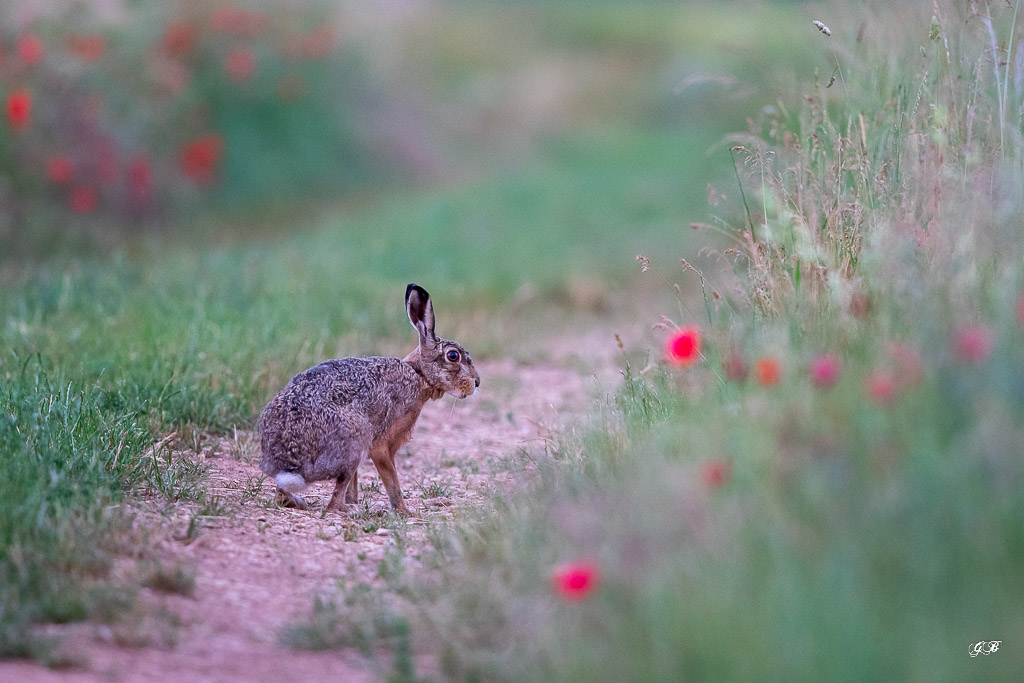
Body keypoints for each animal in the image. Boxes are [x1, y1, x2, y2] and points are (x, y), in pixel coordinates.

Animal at [258, 284, 480, 516]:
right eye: (453, 356)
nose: (476, 382)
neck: (419, 375)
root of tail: (288, 461)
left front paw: (358, 500)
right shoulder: (381, 444)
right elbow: (392, 479)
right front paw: (404, 511)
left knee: (284, 494)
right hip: (356, 440)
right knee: (332, 504)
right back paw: (353, 511)